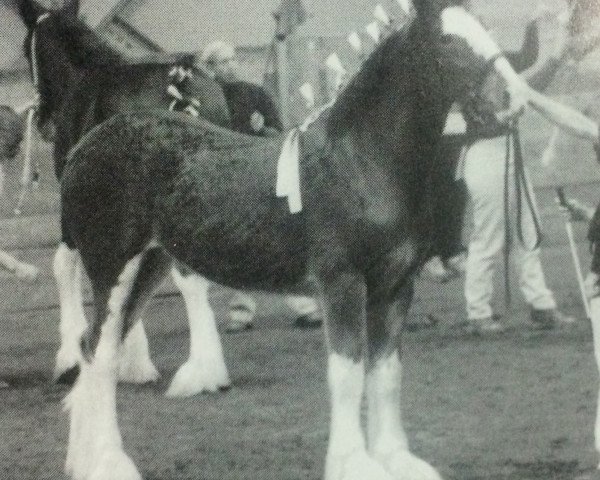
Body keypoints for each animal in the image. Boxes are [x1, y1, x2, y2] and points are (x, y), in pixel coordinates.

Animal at [17, 0, 236, 394]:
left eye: (28, 48)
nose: (42, 121)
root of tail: (180, 83)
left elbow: (68, 265)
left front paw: (74, 360)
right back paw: (206, 370)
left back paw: (201, 372)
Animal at [55, 1, 556, 478]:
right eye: (449, 43)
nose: (514, 102)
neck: (360, 163)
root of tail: (85, 146)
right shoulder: (343, 284)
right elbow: (348, 374)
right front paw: (355, 465)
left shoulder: (395, 287)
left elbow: (386, 373)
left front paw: (396, 460)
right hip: (112, 270)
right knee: (101, 356)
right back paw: (110, 465)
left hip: (150, 266)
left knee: (94, 350)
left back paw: (82, 461)